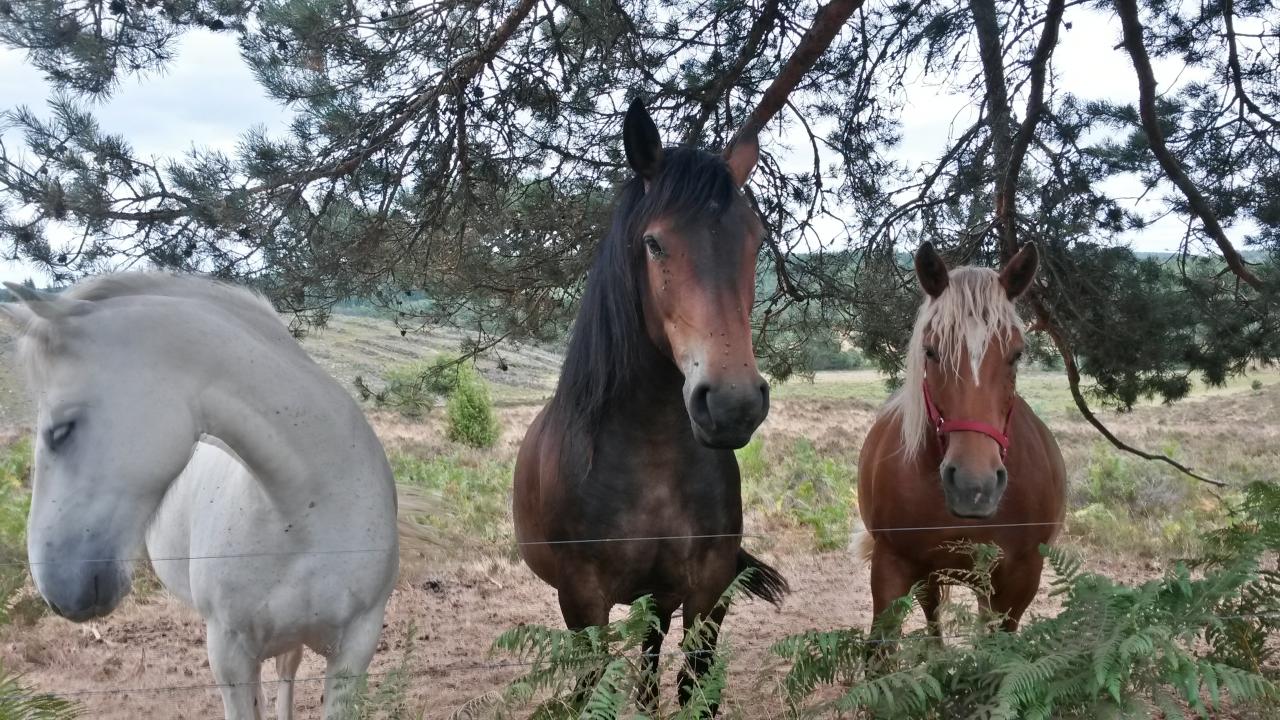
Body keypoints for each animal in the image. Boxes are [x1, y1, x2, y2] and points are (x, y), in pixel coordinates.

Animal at [514, 98, 783, 707]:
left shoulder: (708, 590)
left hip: (664, 597)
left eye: (755, 240)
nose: (732, 403)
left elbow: (693, 690)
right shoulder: (583, 601)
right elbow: (590, 691)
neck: (651, 455)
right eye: (655, 243)